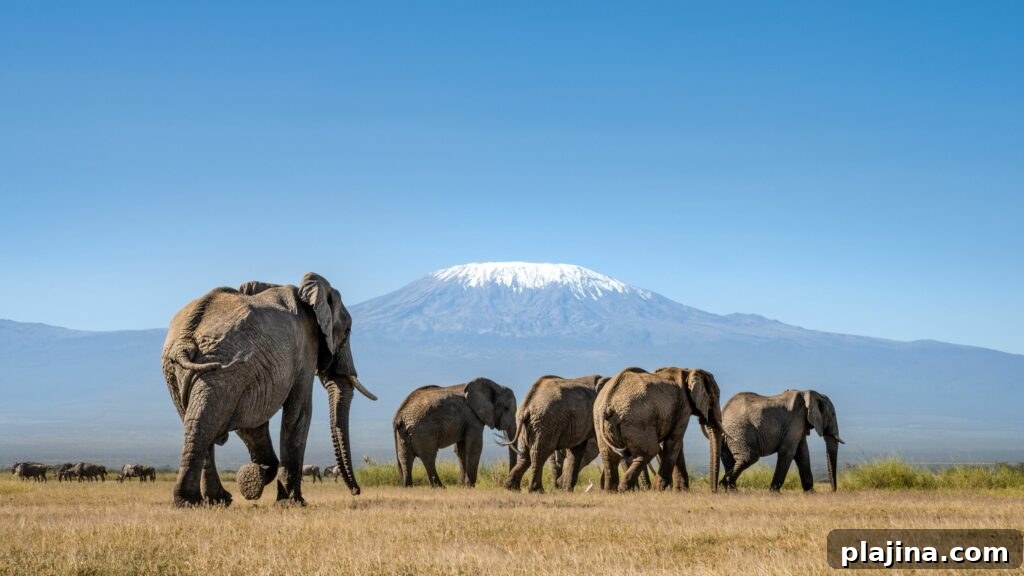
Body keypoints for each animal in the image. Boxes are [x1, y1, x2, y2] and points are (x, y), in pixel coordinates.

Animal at [161, 273, 376, 507]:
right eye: (347, 331)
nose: (356, 491)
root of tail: (185, 339)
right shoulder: (305, 349)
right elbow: (299, 412)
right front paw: (292, 502)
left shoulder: (251, 372)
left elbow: (251, 422)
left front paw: (253, 479)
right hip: (217, 367)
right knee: (205, 421)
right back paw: (194, 501)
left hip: (187, 371)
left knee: (198, 420)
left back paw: (213, 500)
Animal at [594, 367, 723, 492]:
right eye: (716, 396)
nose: (714, 491)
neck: (689, 371)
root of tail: (607, 402)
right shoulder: (683, 407)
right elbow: (674, 442)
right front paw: (660, 489)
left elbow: (676, 444)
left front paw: (680, 491)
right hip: (638, 419)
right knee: (649, 451)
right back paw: (624, 489)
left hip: (601, 423)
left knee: (609, 456)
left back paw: (611, 491)